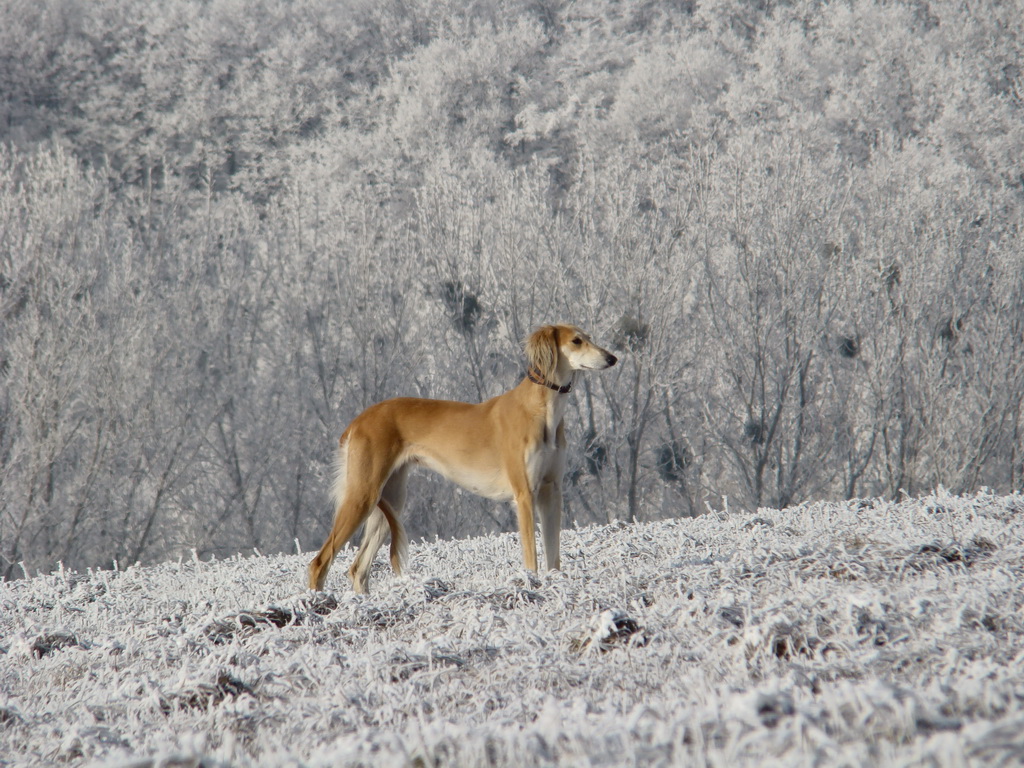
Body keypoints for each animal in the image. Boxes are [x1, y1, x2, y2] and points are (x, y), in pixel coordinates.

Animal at [307, 325, 614, 593]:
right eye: (576, 341)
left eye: (589, 337)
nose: (612, 358)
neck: (542, 410)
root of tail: (358, 421)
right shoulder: (525, 494)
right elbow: (532, 557)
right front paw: (532, 584)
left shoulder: (552, 491)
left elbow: (553, 555)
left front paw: (554, 585)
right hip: (362, 495)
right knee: (319, 562)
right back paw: (317, 604)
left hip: (389, 501)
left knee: (358, 568)